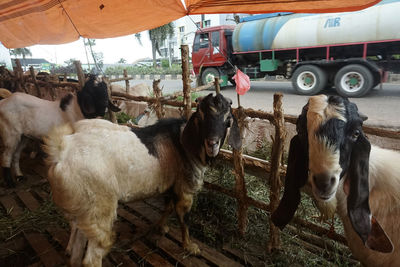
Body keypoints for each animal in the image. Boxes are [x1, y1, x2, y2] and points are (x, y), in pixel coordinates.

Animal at [43, 94, 241, 267]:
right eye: (200, 116)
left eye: (228, 120)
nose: (212, 144)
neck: (182, 141)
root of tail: (62, 151)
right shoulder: (185, 188)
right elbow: (184, 217)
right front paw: (190, 247)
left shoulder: (171, 185)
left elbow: (168, 207)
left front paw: (161, 228)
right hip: (98, 210)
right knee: (92, 258)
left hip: (83, 210)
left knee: (77, 249)